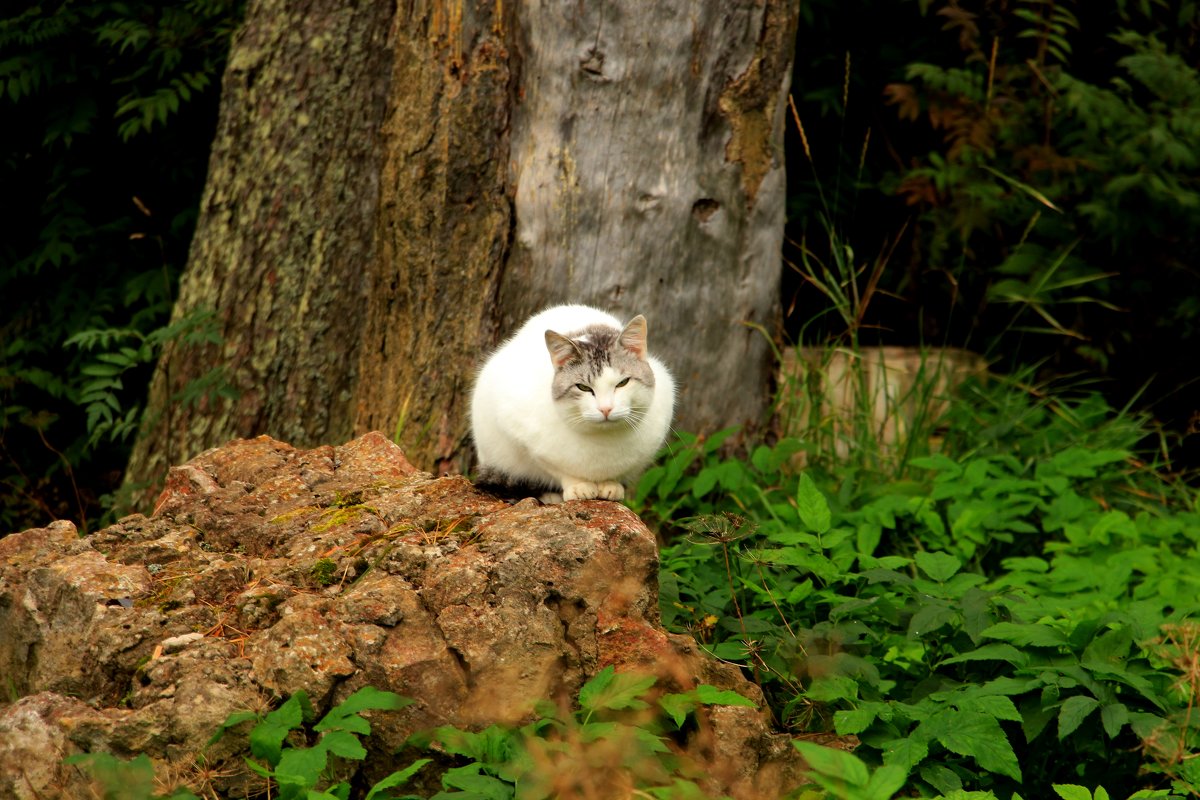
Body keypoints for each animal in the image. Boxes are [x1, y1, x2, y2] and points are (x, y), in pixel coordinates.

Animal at [468, 304, 676, 501]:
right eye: (583, 387)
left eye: (622, 383)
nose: (606, 409)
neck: (603, 443)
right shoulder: (519, 434)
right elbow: (557, 470)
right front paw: (578, 486)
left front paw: (611, 484)